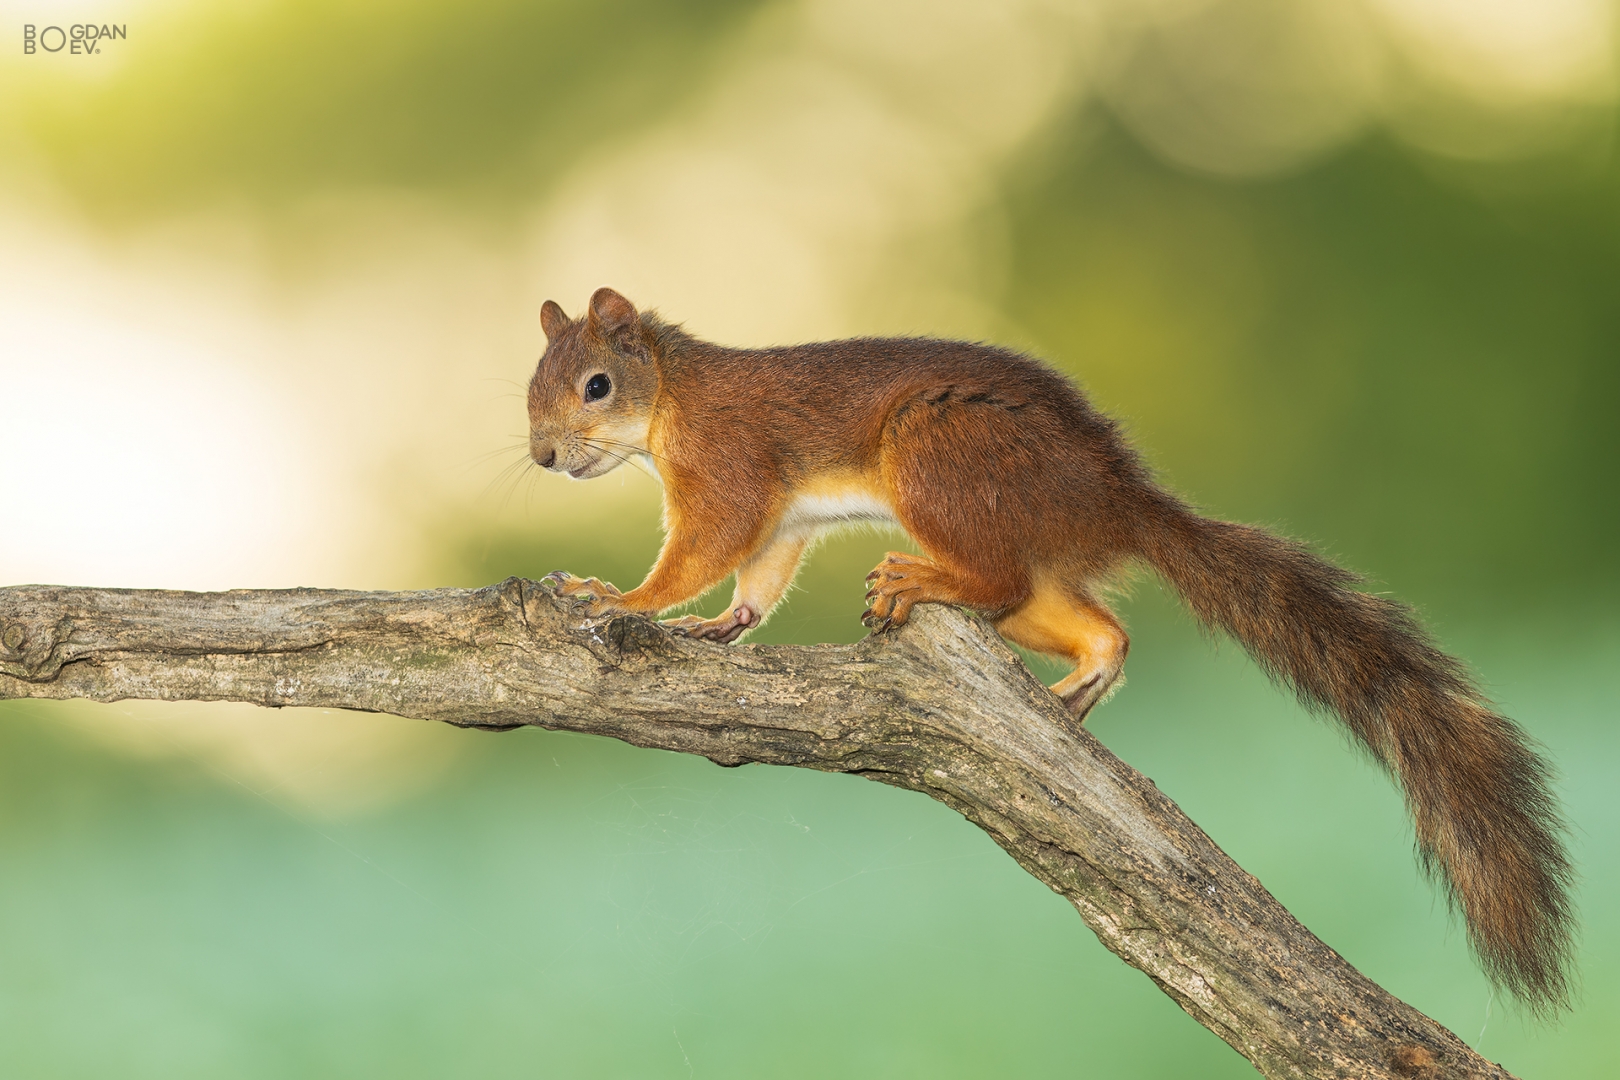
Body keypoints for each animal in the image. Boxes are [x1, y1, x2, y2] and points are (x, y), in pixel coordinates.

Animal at [527, 286, 1573, 1011]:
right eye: (530, 389)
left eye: (595, 386)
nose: (541, 457)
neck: (678, 397)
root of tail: (1115, 496)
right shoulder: (784, 522)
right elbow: (757, 580)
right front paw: (719, 626)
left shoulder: (734, 469)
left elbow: (702, 552)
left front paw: (619, 597)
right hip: (1036, 577)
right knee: (1095, 624)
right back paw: (1073, 691)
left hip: (939, 453)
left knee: (993, 581)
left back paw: (924, 584)